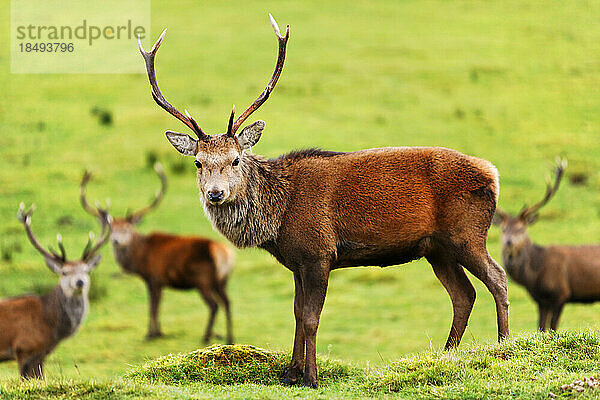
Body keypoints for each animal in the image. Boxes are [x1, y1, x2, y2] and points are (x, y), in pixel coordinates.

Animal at [81, 163, 234, 344]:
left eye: (127, 229)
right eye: (111, 229)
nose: (116, 241)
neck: (140, 257)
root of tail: (224, 253)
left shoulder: (154, 277)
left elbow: (152, 306)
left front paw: (151, 334)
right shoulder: (159, 282)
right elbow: (157, 305)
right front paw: (159, 332)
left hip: (202, 279)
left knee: (214, 305)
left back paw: (206, 337)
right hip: (221, 280)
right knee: (227, 302)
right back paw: (229, 338)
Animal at [138, 15, 508, 388]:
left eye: (236, 159)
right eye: (198, 163)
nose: (216, 194)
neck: (278, 216)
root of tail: (492, 173)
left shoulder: (319, 253)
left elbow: (312, 317)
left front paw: (310, 377)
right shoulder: (297, 260)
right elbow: (297, 313)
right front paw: (290, 373)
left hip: (466, 234)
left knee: (497, 277)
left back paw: (503, 347)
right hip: (436, 248)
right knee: (464, 294)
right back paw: (446, 355)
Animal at [492, 159, 600, 332]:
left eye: (521, 229)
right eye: (503, 229)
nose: (509, 242)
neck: (534, 276)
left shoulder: (561, 294)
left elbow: (553, 327)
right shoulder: (541, 301)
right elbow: (541, 327)